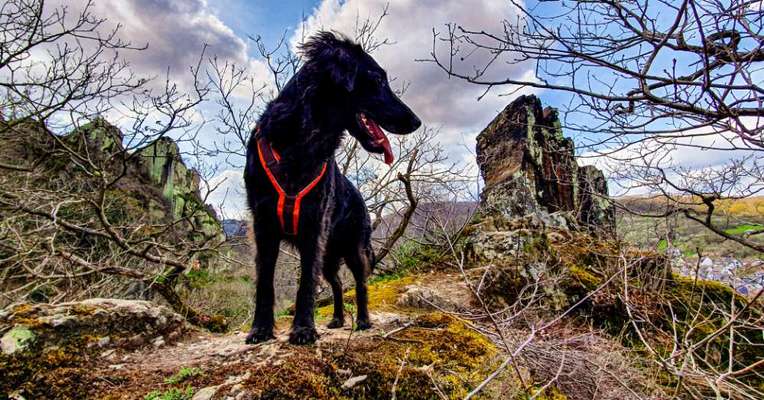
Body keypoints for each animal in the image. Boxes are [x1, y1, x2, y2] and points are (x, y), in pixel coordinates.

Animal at [245, 32, 420, 344]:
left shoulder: (313, 227)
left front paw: (303, 329)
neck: (300, 143)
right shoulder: (263, 224)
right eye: (377, 80)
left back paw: (362, 320)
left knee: (360, 283)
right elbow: (265, 281)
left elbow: (305, 284)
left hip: (354, 248)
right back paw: (338, 318)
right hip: (329, 255)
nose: (416, 121)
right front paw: (261, 329)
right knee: (337, 283)